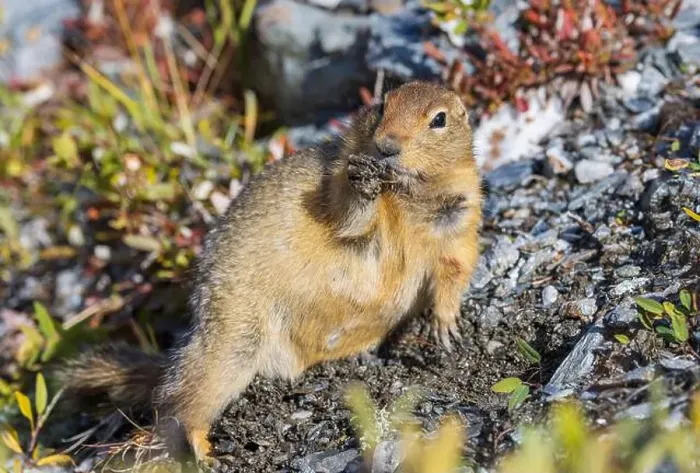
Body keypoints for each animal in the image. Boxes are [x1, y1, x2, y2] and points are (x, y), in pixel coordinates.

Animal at [58, 81, 483, 465]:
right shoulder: (337, 181)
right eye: (381, 105)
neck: (406, 193)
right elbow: (349, 216)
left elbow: (456, 267)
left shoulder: (461, 214)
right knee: (177, 403)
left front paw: (446, 326)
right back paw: (203, 448)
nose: (386, 146)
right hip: (233, 340)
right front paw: (364, 182)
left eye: (439, 119)